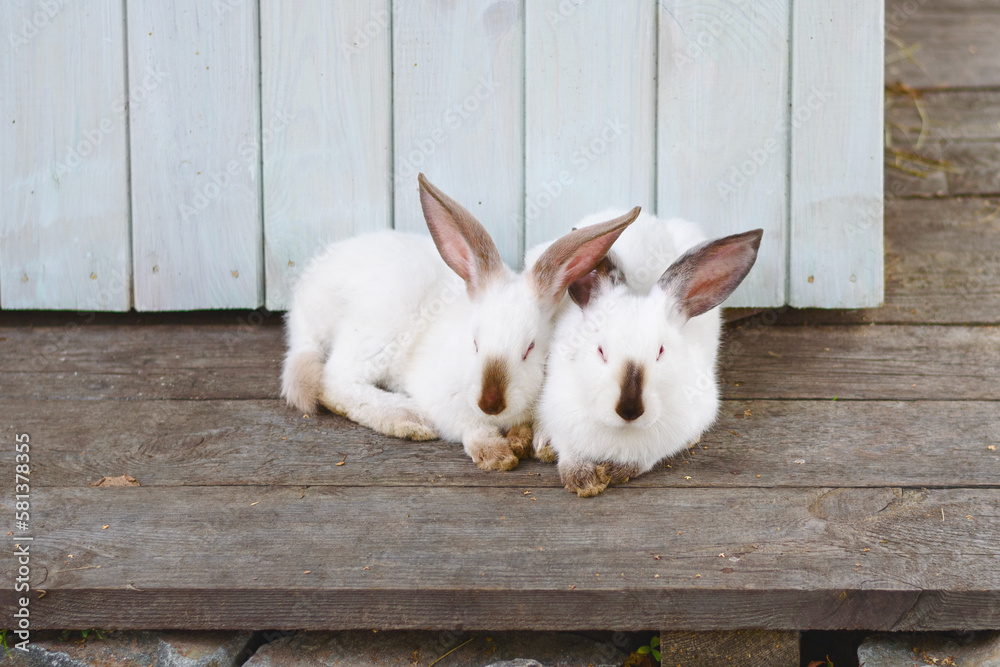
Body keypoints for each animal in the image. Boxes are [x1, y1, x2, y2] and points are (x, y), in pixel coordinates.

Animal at [282, 174, 640, 472]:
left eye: (529, 349)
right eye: (475, 343)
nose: (491, 403)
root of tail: (301, 305)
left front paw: (531, 441)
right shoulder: (441, 398)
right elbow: (467, 423)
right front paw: (494, 453)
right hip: (379, 327)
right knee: (334, 382)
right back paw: (408, 418)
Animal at [528, 210, 762, 496]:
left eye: (660, 351)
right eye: (601, 350)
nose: (629, 409)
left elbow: (645, 459)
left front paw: (617, 470)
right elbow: (568, 451)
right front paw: (581, 478)